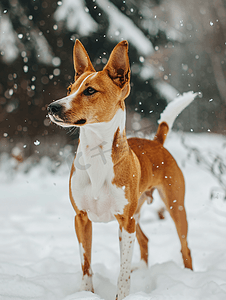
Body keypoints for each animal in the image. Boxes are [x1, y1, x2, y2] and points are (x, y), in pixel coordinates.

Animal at [47, 40, 196, 300]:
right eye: (69, 88)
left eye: (90, 91)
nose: (52, 107)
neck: (97, 155)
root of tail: (156, 142)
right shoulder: (82, 219)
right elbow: (86, 265)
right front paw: (86, 293)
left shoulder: (126, 222)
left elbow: (122, 272)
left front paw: (122, 294)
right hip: (136, 214)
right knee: (145, 241)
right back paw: (144, 272)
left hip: (174, 207)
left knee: (185, 248)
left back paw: (187, 276)